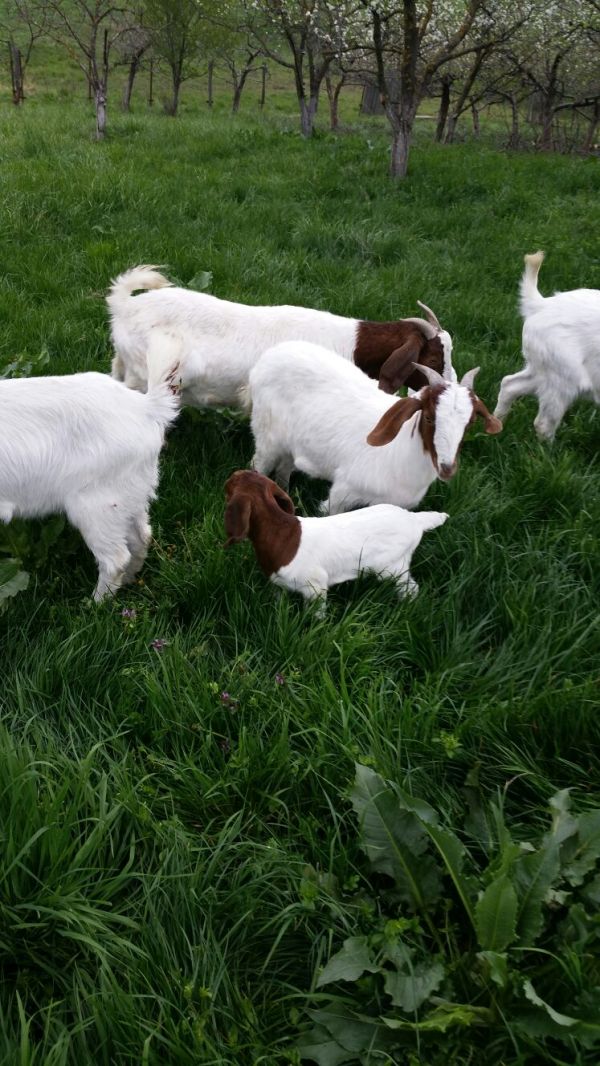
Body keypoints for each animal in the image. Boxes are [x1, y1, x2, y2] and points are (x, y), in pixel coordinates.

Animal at [1, 336, 182, 601]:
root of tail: (145, 406)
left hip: (97, 505)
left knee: (115, 558)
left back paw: (96, 603)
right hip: (129, 495)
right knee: (141, 537)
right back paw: (129, 581)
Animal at [223, 471, 445, 614]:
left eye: (232, 482)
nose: (227, 479)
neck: (280, 530)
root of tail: (414, 520)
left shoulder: (315, 587)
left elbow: (316, 614)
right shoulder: (280, 583)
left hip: (392, 567)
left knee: (411, 588)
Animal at [249, 336, 503, 511]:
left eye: (470, 423)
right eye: (430, 417)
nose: (447, 467)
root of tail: (273, 354)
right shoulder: (343, 492)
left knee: (284, 467)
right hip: (267, 434)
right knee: (259, 464)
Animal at [494, 253, 600, 441]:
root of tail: (541, 305)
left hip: (544, 369)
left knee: (509, 384)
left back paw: (497, 423)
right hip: (565, 377)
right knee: (543, 423)